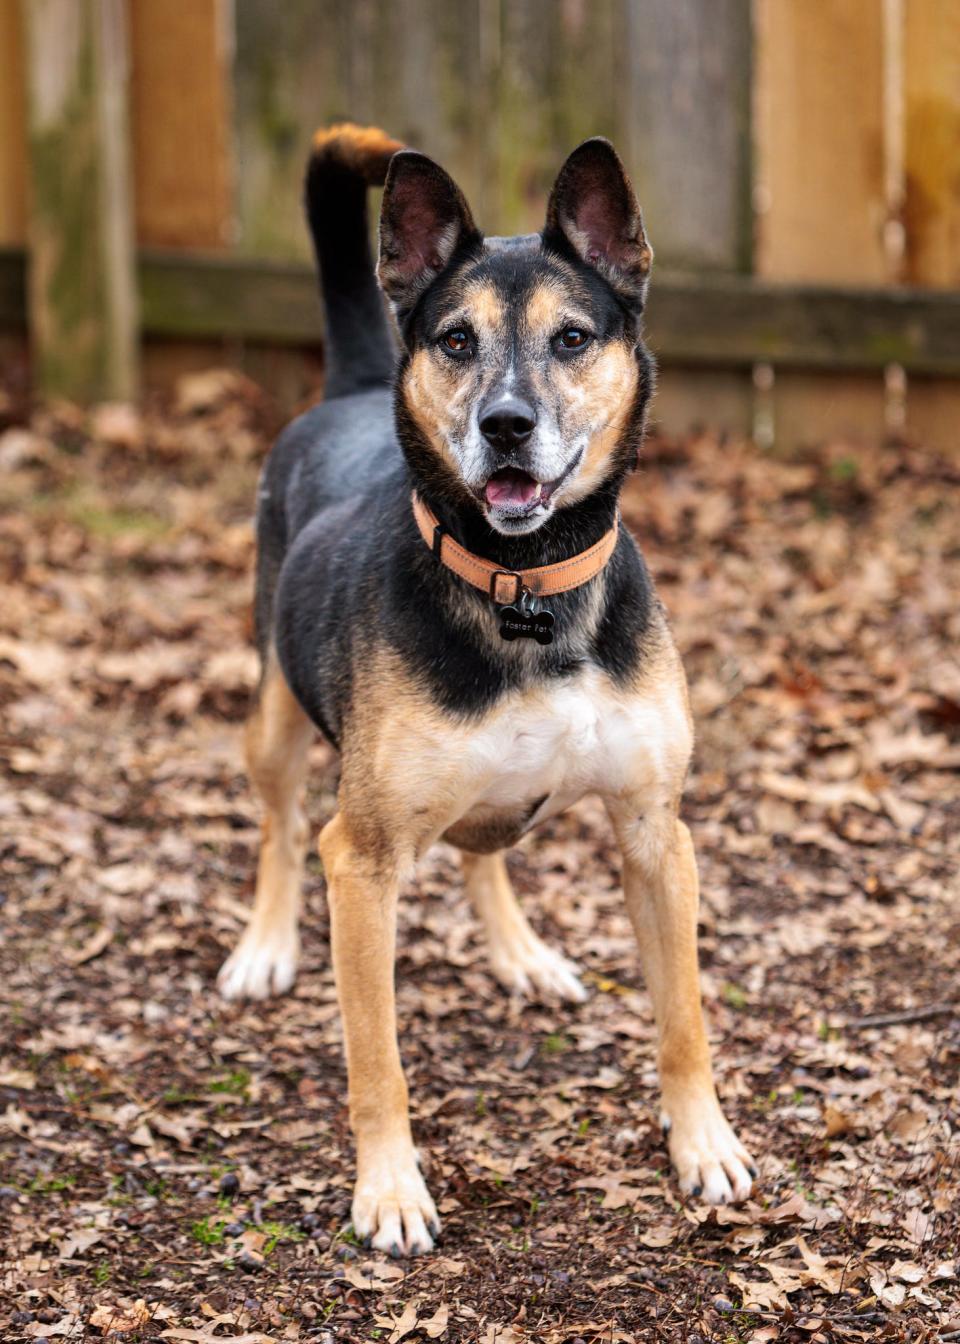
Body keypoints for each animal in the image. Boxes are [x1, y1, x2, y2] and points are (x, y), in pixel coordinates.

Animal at [216, 120, 752, 1252]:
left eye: (573, 339)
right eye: (456, 341)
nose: (506, 425)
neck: (526, 587)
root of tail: (342, 394)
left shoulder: (657, 834)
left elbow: (683, 1019)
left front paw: (704, 1144)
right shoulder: (362, 863)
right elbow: (377, 1061)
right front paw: (389, 1191)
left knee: (481, 850)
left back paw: (522, 954)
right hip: (276, 712)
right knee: (279, 822)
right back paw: (265, 947)